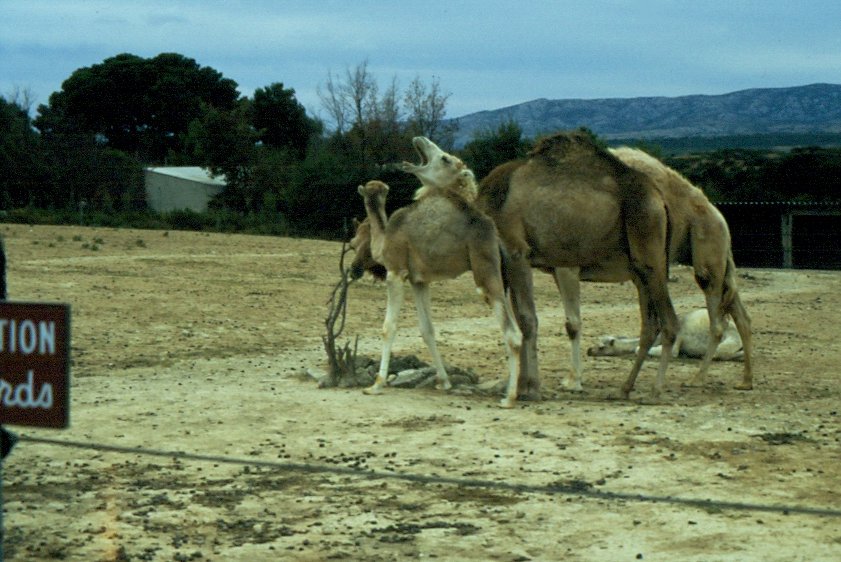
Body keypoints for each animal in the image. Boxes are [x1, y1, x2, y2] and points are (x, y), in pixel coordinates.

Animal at [352, 179, 520, 406]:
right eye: (353, 243)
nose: (354, 269)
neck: (385, 238)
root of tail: (496, 235)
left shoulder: (396, 271)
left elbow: (389, 327)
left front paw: (376, 385)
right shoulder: (419, 281)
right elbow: (427, 329)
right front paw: (444, 382)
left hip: (484, 263)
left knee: (510, 332)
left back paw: (509, 398)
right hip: (501, 276)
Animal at [398, 132, 680, 398]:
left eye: (445, 158)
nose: (419, 138)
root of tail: (660, 199)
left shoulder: (516, 252)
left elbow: (527, 319)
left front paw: (530, 388)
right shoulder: (511, 262)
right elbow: (520, 319)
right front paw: (522, 385)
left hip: (649, 250)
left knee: (669, 322)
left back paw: (655, 390)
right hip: (639, 269)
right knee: (649, 325)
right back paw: (624, 389)